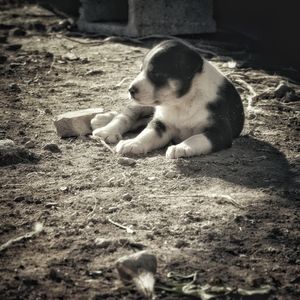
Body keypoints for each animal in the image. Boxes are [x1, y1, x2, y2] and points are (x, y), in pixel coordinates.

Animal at [91, 39, 244, 159]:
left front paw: (181, 147)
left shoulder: (220, 131)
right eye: (141, 70)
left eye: (156, 73)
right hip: (141, 105)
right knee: (126, 116)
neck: (181, 102)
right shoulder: (160, 123)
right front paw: (133, 143)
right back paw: (105, 128)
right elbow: (146, 134)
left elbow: (197, 138)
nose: (130, 90)